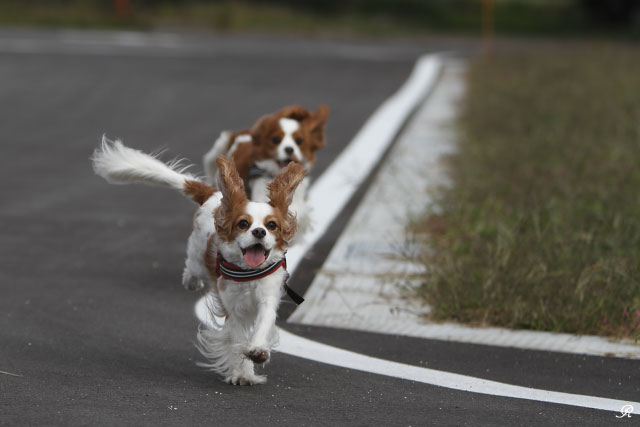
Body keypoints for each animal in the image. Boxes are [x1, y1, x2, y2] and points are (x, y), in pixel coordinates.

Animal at [90, 139, 308, 386]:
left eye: (271, 225)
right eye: (243, 223)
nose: (259, 231)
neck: (247, 272)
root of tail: (214, 194)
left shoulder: (268, 296)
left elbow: (262, 324)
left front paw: (258, 352)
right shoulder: (232, 307)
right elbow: (237, 337)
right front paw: (242, 373)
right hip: (195, 255)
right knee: (192, 269)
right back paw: (191, 281)